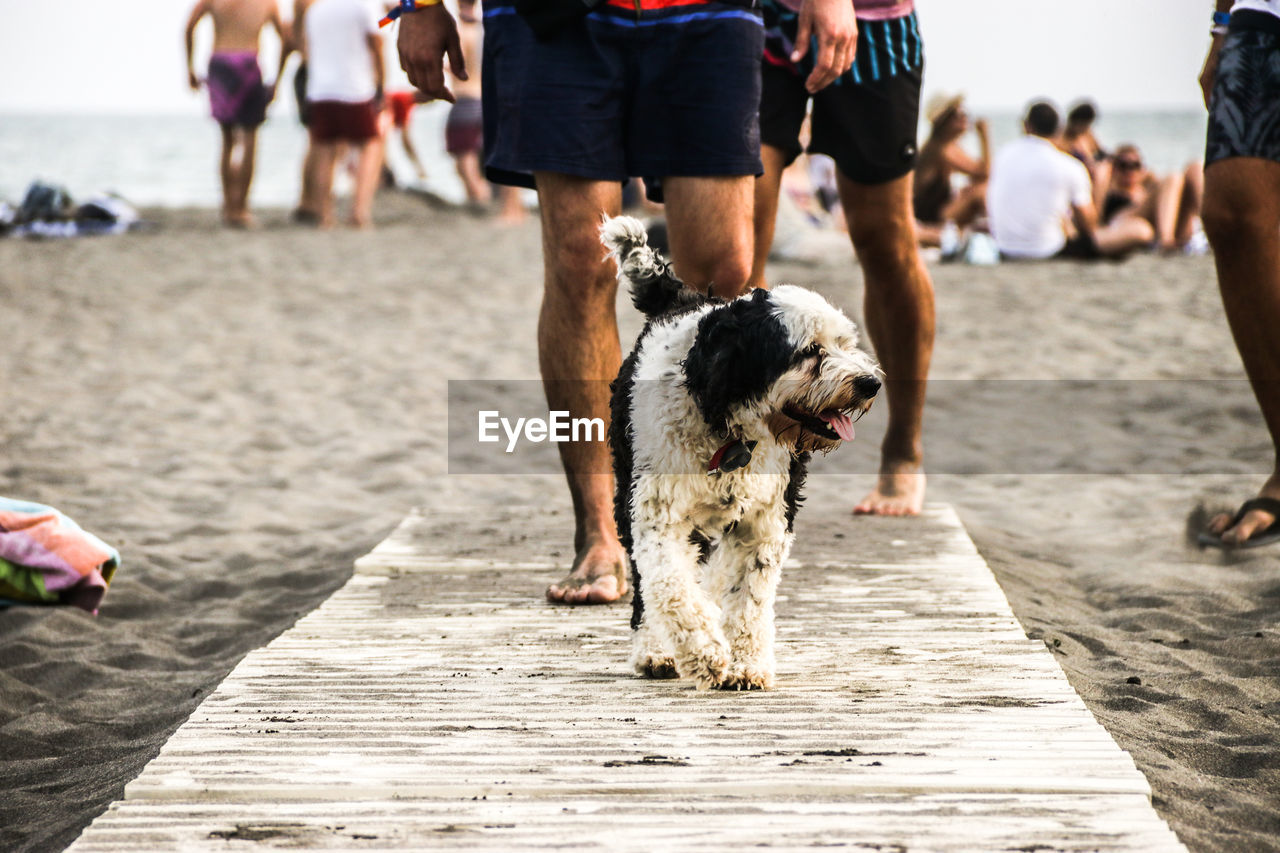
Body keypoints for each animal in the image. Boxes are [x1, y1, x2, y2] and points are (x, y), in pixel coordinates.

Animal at [604, 216, 885, 686]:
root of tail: (679, 298)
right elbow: (669, 586)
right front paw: (705, 653)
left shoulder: (766, 521)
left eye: (845, 343)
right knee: (649, 588)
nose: (871, 383)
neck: (733, 429)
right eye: (810, 351)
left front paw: (747, 663)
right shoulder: (657, 516)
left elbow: (749, 597)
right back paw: (655, 650)